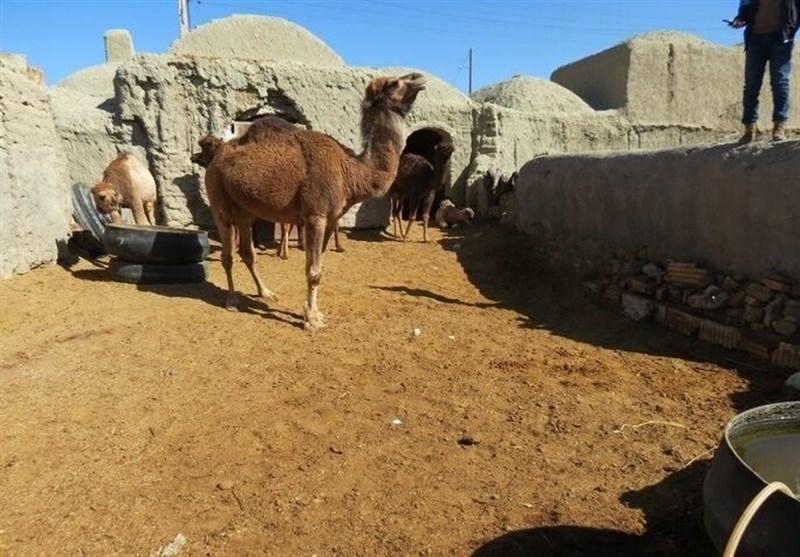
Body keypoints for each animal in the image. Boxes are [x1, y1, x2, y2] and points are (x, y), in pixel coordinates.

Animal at [203, 71, 424, 328]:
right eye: (394, 84)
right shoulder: (315, 216)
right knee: (227, 254)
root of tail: (216, 159)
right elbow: (313, 271)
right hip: (218, 196)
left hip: (245, 210)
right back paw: (231, 300)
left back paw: (266, 293)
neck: (351, 172)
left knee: (247, 252)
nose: (419, 78)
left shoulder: (330, 220)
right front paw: (311, 320)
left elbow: (319, 268)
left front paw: (314, 313)